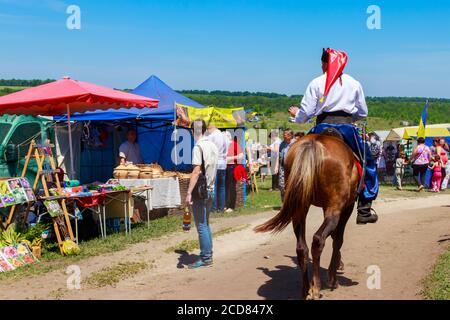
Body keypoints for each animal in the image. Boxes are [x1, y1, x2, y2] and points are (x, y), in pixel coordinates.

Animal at [255, 132, 360, 300]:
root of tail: (313, 144)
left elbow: (334, 237)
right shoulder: (346, 207)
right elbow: (338, 239)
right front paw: (333, 276)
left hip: (300, 207)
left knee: (301, 248)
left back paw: (306, 289)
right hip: (335, 208)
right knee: (318, 239)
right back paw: (316, 287)